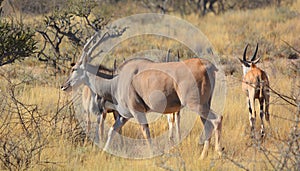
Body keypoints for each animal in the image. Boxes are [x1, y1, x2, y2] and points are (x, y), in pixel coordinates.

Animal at [61, 32, 223, 159]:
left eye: (74, 69)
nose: (64, 86)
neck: (116, 79)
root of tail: (207, 65)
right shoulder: (124, 116)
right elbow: (112, 131)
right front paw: (103, 153)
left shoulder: (137, 112)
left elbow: (146, 133)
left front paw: (152, 155)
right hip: (204, 105)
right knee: (208, 124)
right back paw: (203, 156)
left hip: (196, 105)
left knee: (217, 119)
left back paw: (218, 151)